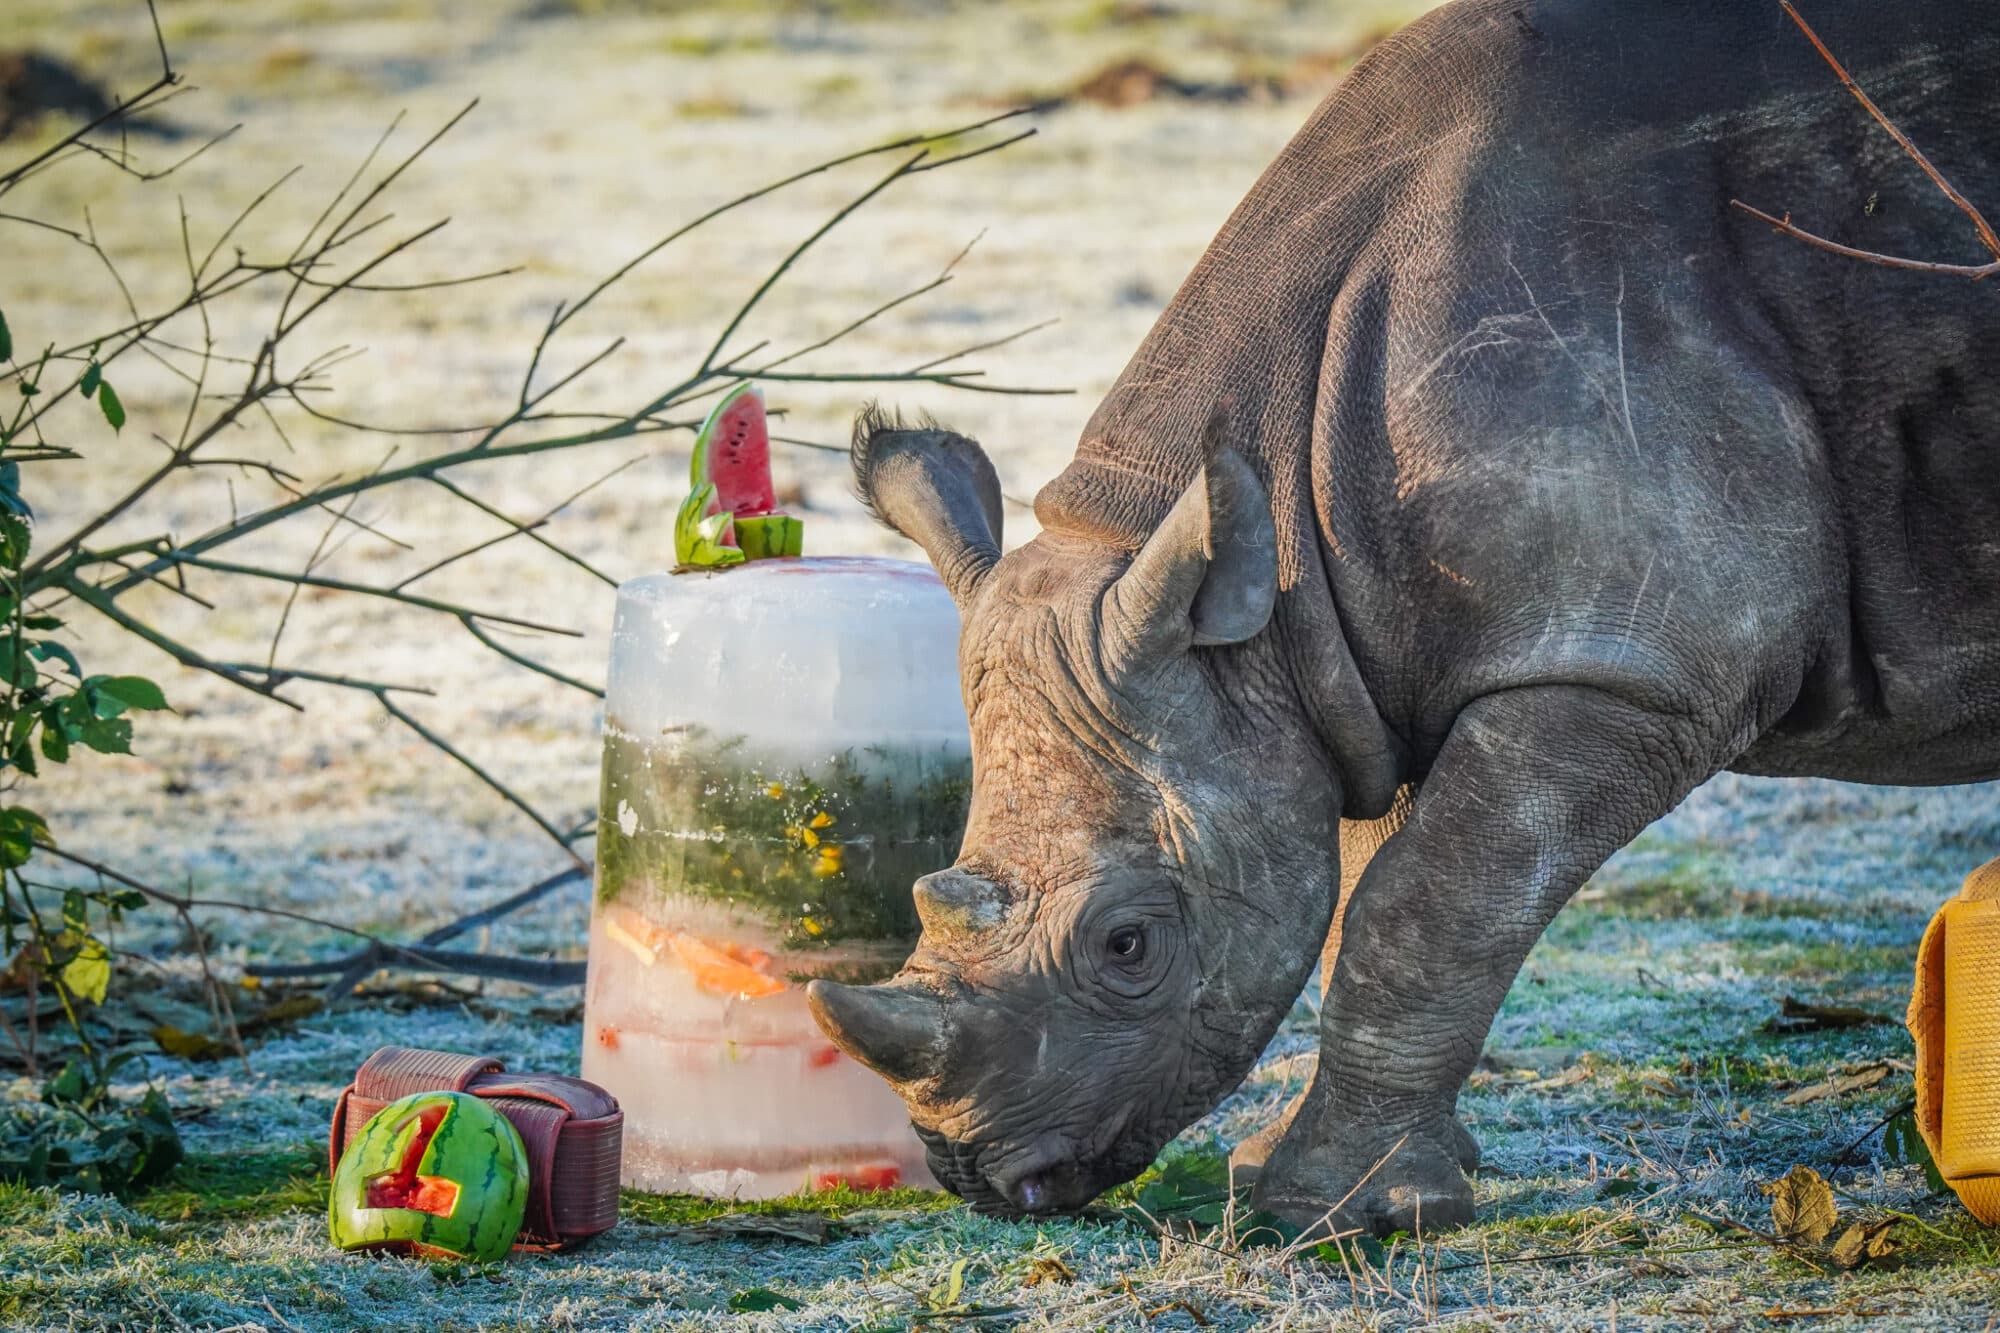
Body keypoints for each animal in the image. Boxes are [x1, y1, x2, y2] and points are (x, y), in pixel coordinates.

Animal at [807, 0, 2000, 1235]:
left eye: (1128, 943)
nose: (973, 1171)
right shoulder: (1357, 670)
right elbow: (1376, 899)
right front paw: (1366, 1183)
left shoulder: (1620, 666)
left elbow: (1420, 910)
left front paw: (1326, 1209)